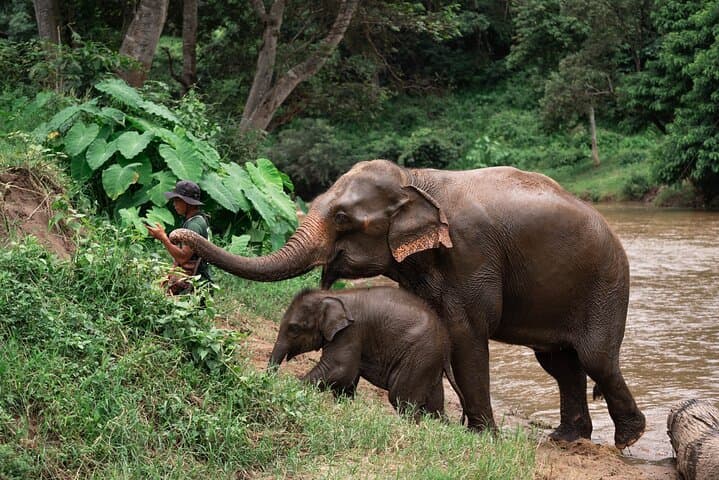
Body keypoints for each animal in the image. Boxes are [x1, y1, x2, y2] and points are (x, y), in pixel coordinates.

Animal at [268, 287, 465, 420]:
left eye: (294, 328)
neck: (333, 295)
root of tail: (446, 346)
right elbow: (347, 380)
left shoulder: (350, 332)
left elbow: (340, 369)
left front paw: (293, 389)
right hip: (429, 364)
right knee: (434, 407)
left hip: (419, 358)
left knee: (401, 399)